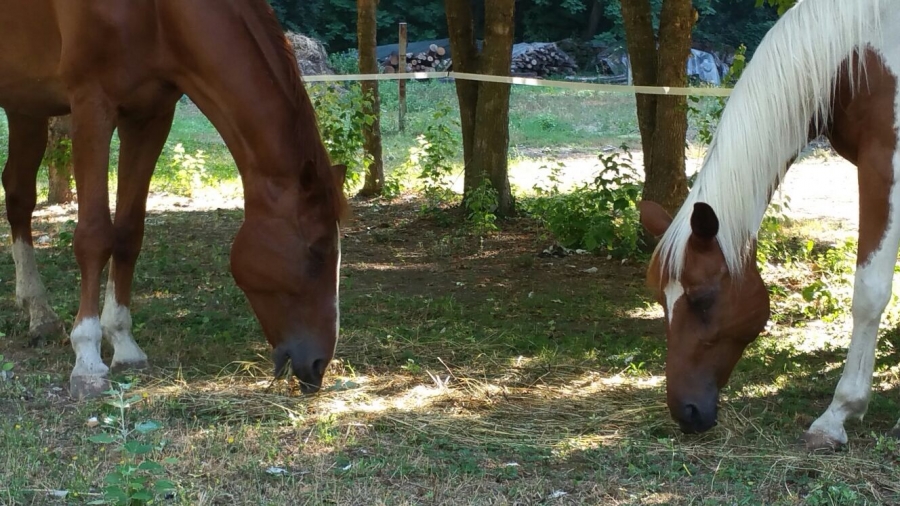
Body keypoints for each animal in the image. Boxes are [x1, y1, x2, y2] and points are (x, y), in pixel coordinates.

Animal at [0, 1, 346, 402]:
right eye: (317, 251)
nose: (318, 365)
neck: (157, 14)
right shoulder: (91, 105)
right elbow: (94, 236)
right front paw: (87, 358)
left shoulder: (149, 117)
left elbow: (128, 234)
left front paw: (123, 342)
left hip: (25, 103)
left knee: (19, 195)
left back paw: (39, 313)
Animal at [640, 0, 900, 450]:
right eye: (660, 299)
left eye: (703, 299)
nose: (685, 412)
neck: (861, 52)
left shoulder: (885, 167)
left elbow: (870, 293)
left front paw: (838, 414)